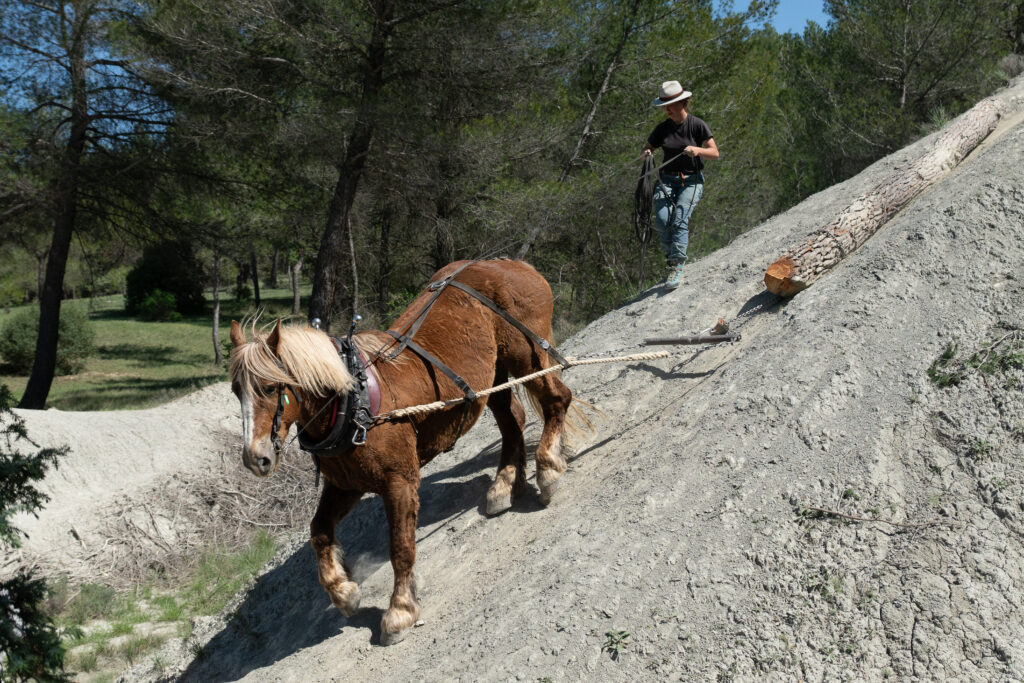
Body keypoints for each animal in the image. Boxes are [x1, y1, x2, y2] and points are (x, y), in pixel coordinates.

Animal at [233, 259, 585, 643]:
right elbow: (319, 531)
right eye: (236, 390)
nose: (255, 459)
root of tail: (511, 263)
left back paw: (547, 468)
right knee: (513, 421)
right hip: (493, 375)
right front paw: (342, 591)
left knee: (557, 399)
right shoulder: (346, 485)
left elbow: (401, 547)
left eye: (270, 387)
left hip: (527, 354)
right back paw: (505, 483)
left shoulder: (399, 482)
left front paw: (400, 609)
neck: (352, 401)